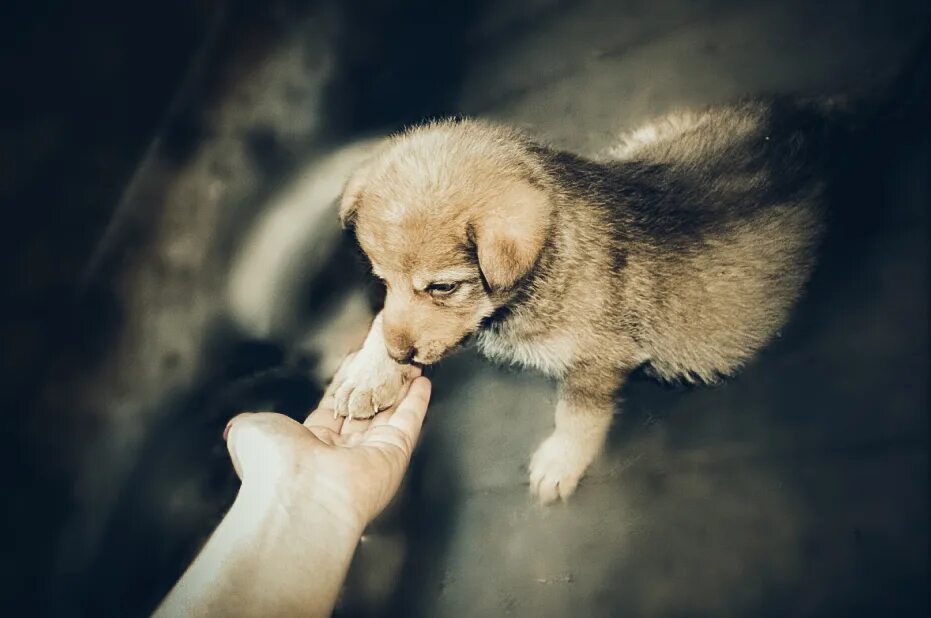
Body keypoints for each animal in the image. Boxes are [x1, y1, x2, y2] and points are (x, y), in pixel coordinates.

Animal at [332, 97, 828, 500]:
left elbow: (577, 415)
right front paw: (367, 373)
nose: (400, 355)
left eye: (443, 287)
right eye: (382, 281)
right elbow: (384, 321)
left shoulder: (599, 359)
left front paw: (559, 461)